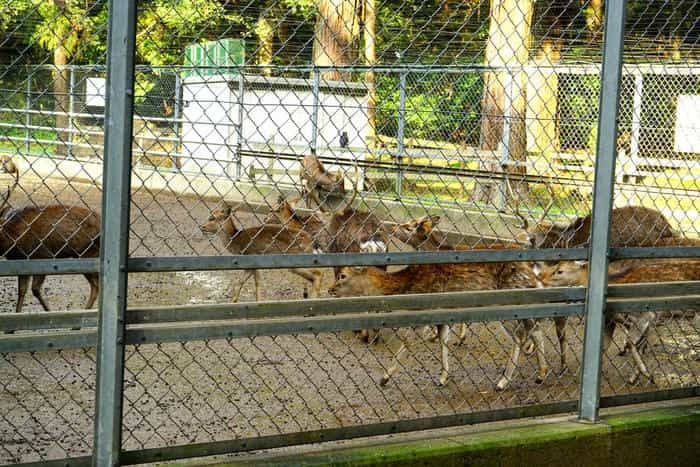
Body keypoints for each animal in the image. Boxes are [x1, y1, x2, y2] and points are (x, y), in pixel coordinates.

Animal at [328, 260, 564, 392]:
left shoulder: (423, 314)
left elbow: (408, 342)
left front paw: (384, 378)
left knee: (520, 334)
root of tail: (534, 275)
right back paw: (541, 374)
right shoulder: (441, 315)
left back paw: (502, 382)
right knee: (535, 329)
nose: (330, 289)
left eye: (343, 275)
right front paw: (442, 377)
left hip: (508, 305)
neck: (407, 286)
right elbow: (443, 340)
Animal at [536, 260, 700, 384]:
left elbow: (632, 343)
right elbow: (608, 345)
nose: (541, 279)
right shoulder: (611, 320)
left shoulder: (646, 315)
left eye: (560, 271)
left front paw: (645, 375)